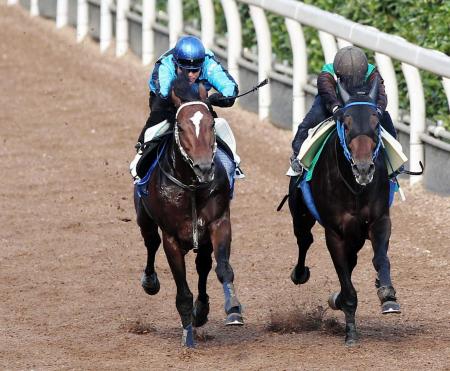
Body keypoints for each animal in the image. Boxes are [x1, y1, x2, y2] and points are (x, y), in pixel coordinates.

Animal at [134, 75, 243, 348]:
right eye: (181, 127)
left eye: (211, 124)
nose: (204, 167)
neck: (191, 185)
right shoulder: (171, 238)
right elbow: (182, 291)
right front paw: (188, 338)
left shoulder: (218, 223)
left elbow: (223, 269)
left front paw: (233, 309)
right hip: (144, 218)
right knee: (151, 243)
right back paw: (150, 282)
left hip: (201, 239)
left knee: (203, 265)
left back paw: (201, 310)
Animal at [286, 79, 400, 348]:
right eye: (345, 124)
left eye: (376, 123)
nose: (363, 168)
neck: (355, 187)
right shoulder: (335, 234)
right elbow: (346, 283)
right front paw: (350, 333)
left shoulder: (379, 221)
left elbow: (380, 258)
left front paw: (388, 295)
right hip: (301, 215)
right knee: (305, 240)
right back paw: (300, 273)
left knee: (353, 259)